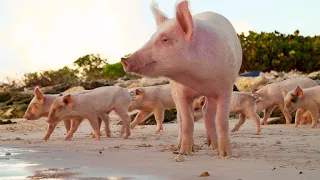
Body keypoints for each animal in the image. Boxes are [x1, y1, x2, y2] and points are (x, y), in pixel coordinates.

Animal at [120, 0, 242, 157]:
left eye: (165, 39)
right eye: (151, 37)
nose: (124, 60)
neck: (198, 80)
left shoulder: (226, 87)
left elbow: (222, 120)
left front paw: (225, 154)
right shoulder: (180, 91)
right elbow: (187, 121)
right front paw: (184, 153)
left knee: (208, 114)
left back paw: (213, 146)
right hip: (174, 91)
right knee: (181, 118)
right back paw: (181, 145)